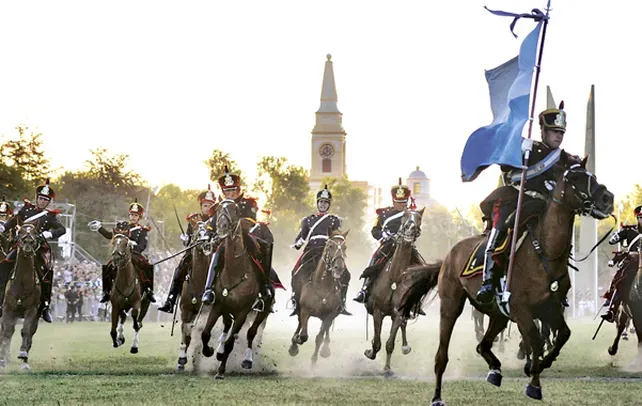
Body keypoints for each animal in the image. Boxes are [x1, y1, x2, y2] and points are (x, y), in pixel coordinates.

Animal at [0, 223, 42, 370]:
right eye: (20, 231)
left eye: (35, 233)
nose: (28, 243)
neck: (23, 283)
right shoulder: (7, 309)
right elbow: (6, 332)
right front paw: (2, 360)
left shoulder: (32, 310)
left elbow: (26, 331)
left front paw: (23, 355)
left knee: (30, 335)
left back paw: (25, 362)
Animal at [200, 199, 273, 379]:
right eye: (218, 209)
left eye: (235, 209)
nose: (222, 226)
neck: (234, 271)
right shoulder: (218, 306)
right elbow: (205, 333)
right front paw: (209, 350)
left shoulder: (242, 312)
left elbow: (231, 343)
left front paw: (220, 371)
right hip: (227, 309)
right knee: (227, 325)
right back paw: (219, 351)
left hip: (262, 312)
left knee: (251, 333)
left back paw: (247, 359)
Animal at [288, 229, 350, 364]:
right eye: (330, 246)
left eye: (345, 247)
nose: (339, 268)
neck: (323, 286)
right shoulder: (305, 310)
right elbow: (304, 335)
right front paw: (296, 341)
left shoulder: (330, 315)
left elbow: (319, 337)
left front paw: (314, 361)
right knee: (300, 323)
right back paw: (294, 343)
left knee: (326, 330)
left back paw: (325, 349)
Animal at [362, 207, 431, 378]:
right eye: (404, 217)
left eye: (419, 218)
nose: (410, 228)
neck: (395, 276)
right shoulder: (378, 312)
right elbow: (377, 341)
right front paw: (370, 352)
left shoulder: (398, 314)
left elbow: (389, 343)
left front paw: (387, 369)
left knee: (404, 325)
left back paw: (405, 347)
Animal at [398, 154, 614, 404]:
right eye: (575, 177)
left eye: (592, 175)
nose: (607, 198)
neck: (544, 252)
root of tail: (449, 256)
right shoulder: (523, 310)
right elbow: (536, 341)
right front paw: (534, 383)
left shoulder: (550, 309)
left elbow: (561, 335)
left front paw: (541, 364)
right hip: (451, 306)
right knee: (442, 355)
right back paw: (437, 396)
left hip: (498, 314)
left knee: (482, 345)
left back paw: (495, 369)